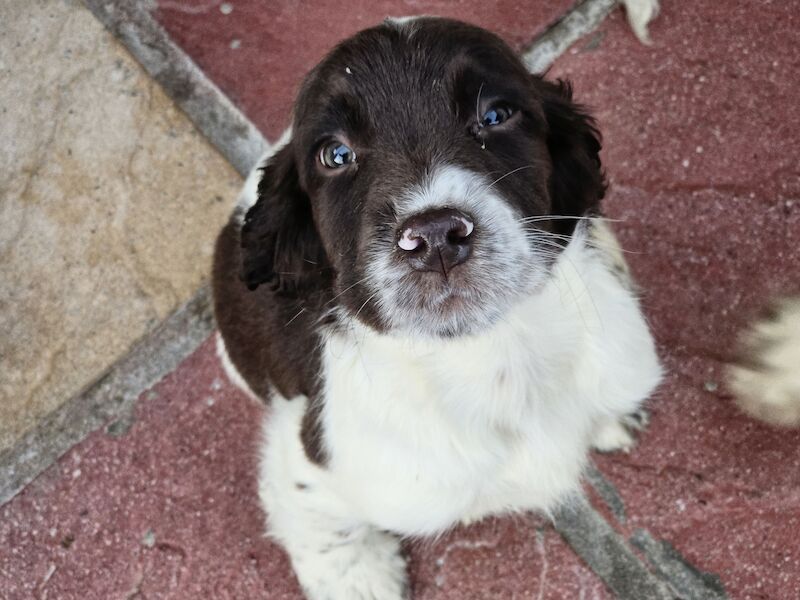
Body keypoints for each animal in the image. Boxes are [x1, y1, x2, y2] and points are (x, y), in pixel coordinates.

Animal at [212, 18, 664, 600]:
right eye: (335, 155)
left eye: (496, 115)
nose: (434, 238)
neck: (493, 355)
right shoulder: (313, 462)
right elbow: (328, 533)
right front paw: (364, 579)